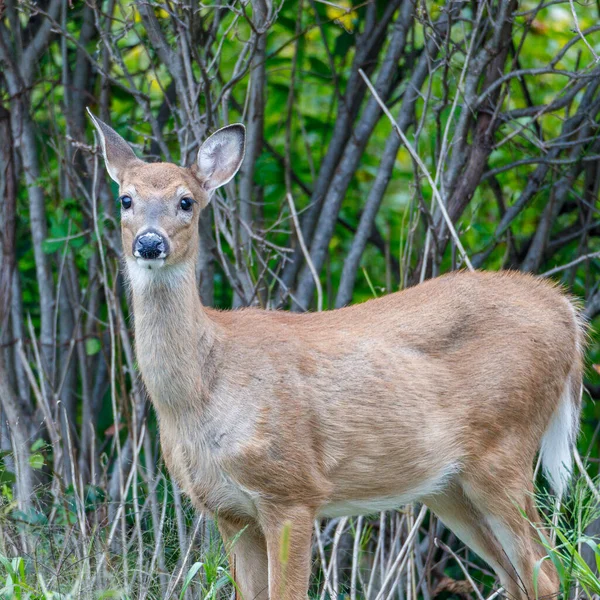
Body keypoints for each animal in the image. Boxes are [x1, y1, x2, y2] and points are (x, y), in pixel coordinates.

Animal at [89, 109, 584, 600]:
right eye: (126, 199)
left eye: (187, 202)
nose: (150, 243)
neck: (202, 393)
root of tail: (563, 307)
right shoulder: (228, 511)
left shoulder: (292, 491)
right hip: (447, 485)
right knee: (516, 577)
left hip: (504, 449)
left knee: (546, 573)